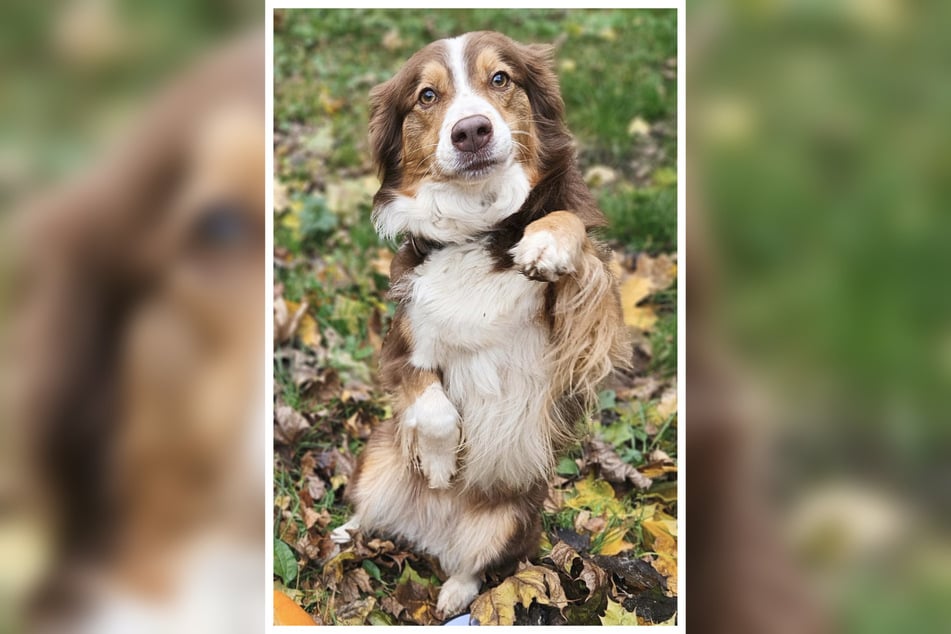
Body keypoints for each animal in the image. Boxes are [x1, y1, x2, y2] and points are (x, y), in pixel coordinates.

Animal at [330, 30, 632, 616]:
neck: (476, 227)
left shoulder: (590, 321)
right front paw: (441, 465)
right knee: (367, 511)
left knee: (474, 568)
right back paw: (344, 533)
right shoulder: (401, 345)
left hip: (512, 519)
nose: (471, 130)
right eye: (427, 95)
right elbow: (432, 406)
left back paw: (451, 594)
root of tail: (427, 534)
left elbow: (567, 227)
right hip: (377, 458)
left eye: (500, 79)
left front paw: (546, 242)